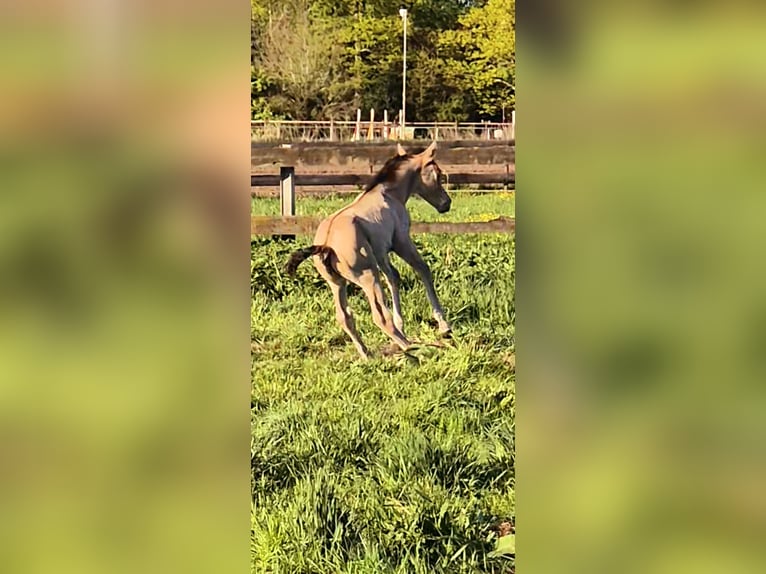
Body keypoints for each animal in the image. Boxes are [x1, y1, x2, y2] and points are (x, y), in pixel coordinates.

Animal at [285, 141, 452, 359]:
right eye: (438, 174)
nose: (446, 203)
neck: (387, 193)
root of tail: (326, 245)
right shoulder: (401, 241)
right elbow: (422, 269)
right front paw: (444, 326)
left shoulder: (381, 252)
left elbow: (393, 277)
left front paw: (402, 324)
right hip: (368, 276)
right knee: (379, 316)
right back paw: (411, 349)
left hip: (336, 283)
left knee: (344, 317)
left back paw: (367, 354)